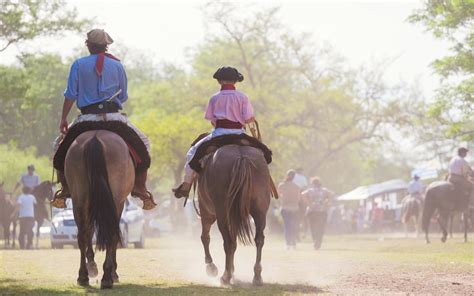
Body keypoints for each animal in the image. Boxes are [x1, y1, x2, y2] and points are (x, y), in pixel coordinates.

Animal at [65, 131, 134, 288]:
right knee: (110, 234)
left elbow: (89, 231)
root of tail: (95, 137)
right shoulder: (119, 203)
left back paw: (83, 276)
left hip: (79, 198)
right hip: (113, 200)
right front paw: (113, 272)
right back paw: (107, 277)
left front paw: (92, 266)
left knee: (82, 235)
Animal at [196, 145, 270, 286]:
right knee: (259, 239)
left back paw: (225, 276)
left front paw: (211, 267)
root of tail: (241, 157)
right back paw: (257, 276)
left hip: (221, 214)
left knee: (228, 242)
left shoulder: (206, 212)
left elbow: (205, 237)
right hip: (260, 211)